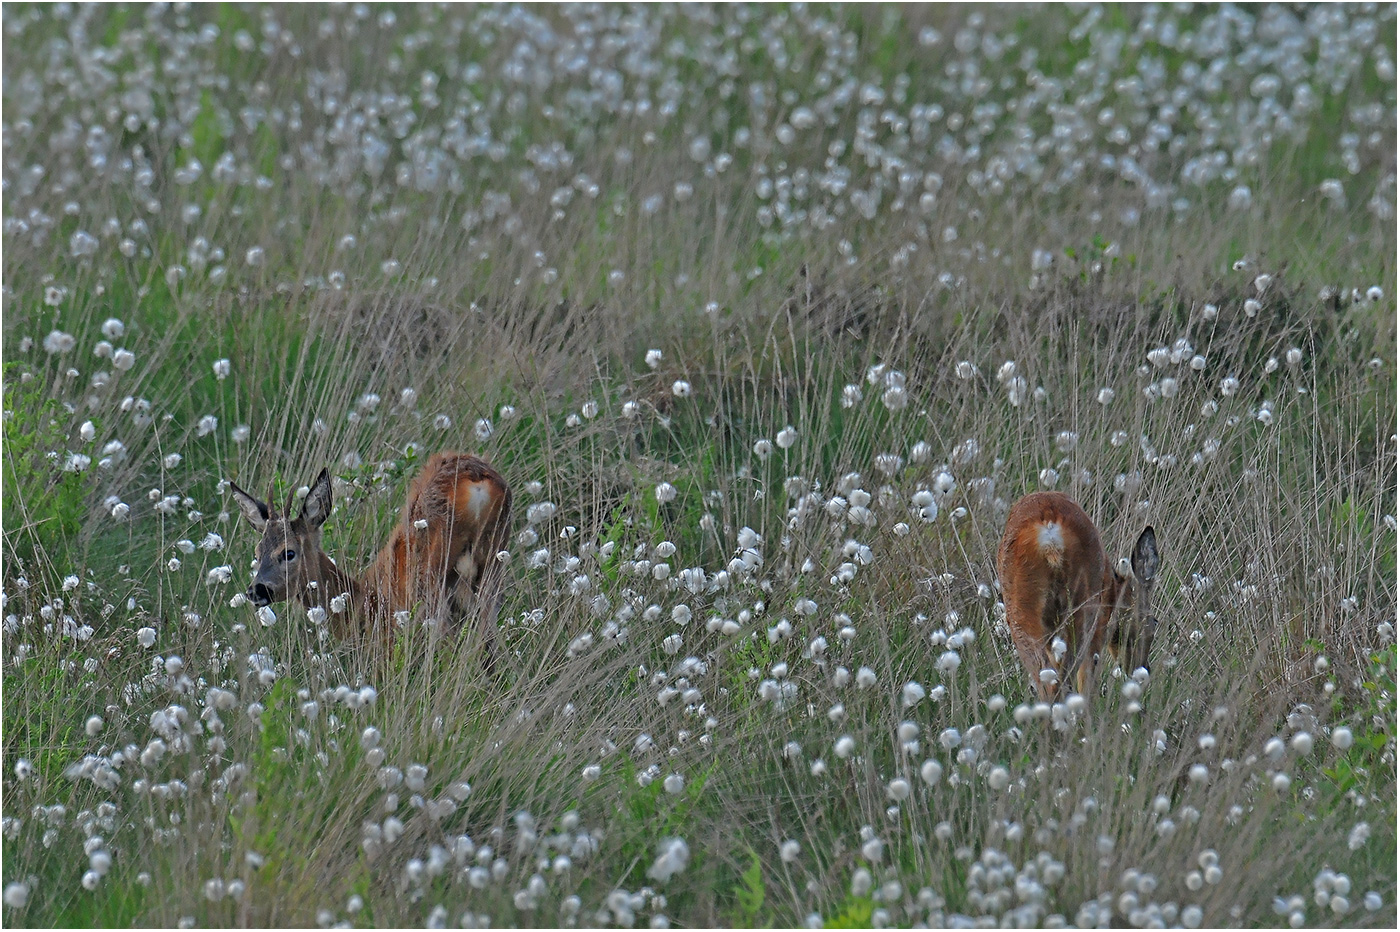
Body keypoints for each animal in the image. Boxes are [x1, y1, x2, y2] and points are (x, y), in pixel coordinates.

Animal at [229, 450, 515, 660]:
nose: (256, 590)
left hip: (433, 582)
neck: (361, 604)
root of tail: (477, 482)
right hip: (491, 565)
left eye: (288, 552)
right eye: (258, 552)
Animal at [996, 492, 1159, 696]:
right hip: (1083, 608)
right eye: (1154, 622)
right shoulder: (1099, 630)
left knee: (1047, 679)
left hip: (1022, 607)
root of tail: (1050, 529)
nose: (1143, 671)